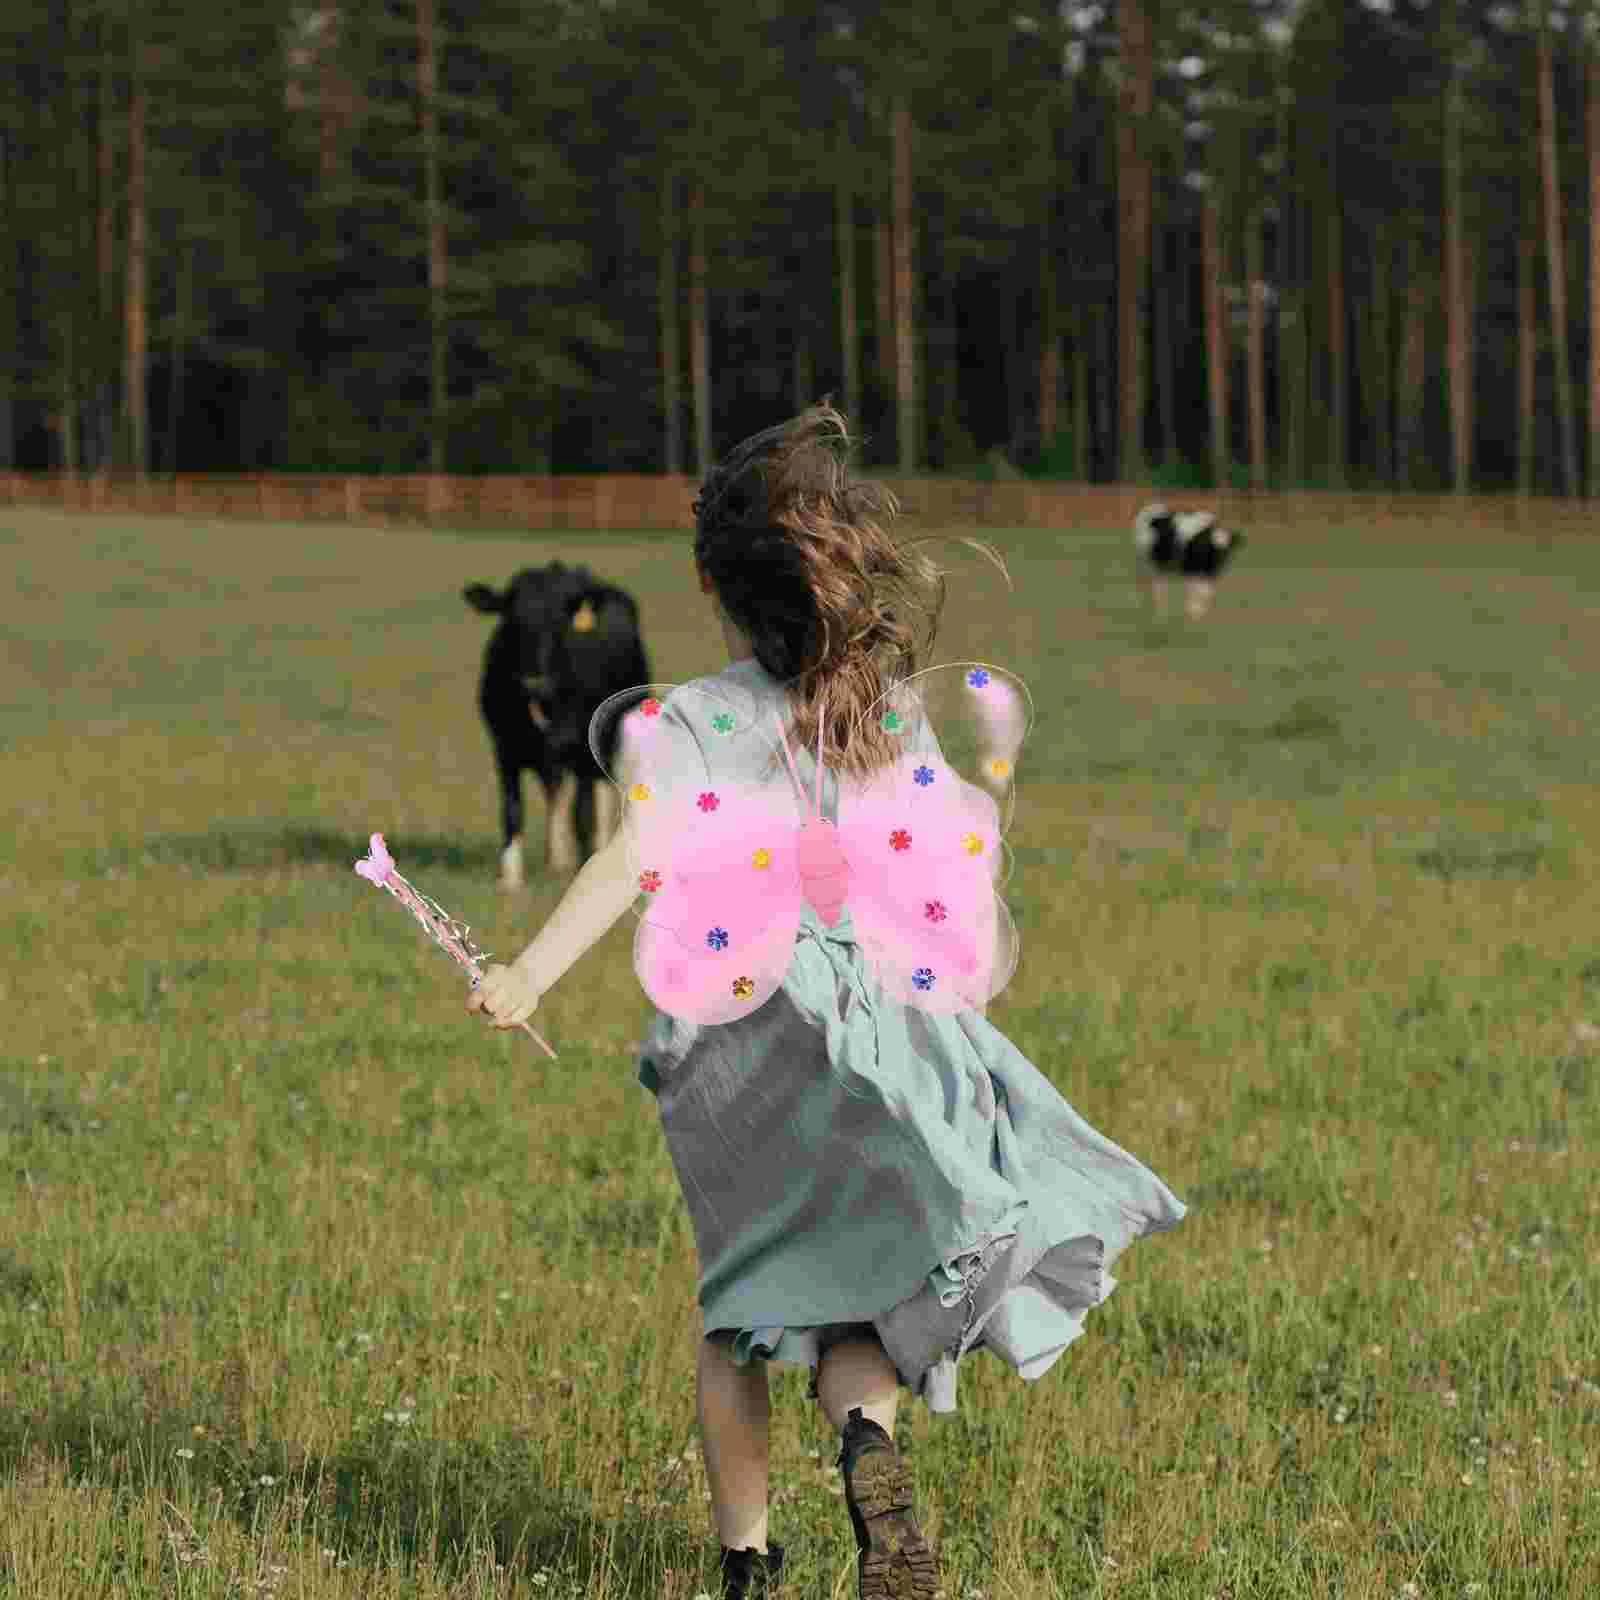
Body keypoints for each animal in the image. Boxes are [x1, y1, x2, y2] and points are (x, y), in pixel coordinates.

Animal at [460, 563, 646, 889]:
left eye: (558, 625)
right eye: (511, 621)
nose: (534, 681)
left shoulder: (584, 749)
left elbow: (583, 815)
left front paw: (584, 871)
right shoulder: (505, 748)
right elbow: (512, 810)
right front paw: (511, 879)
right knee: (555, 792)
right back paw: (556, 860)